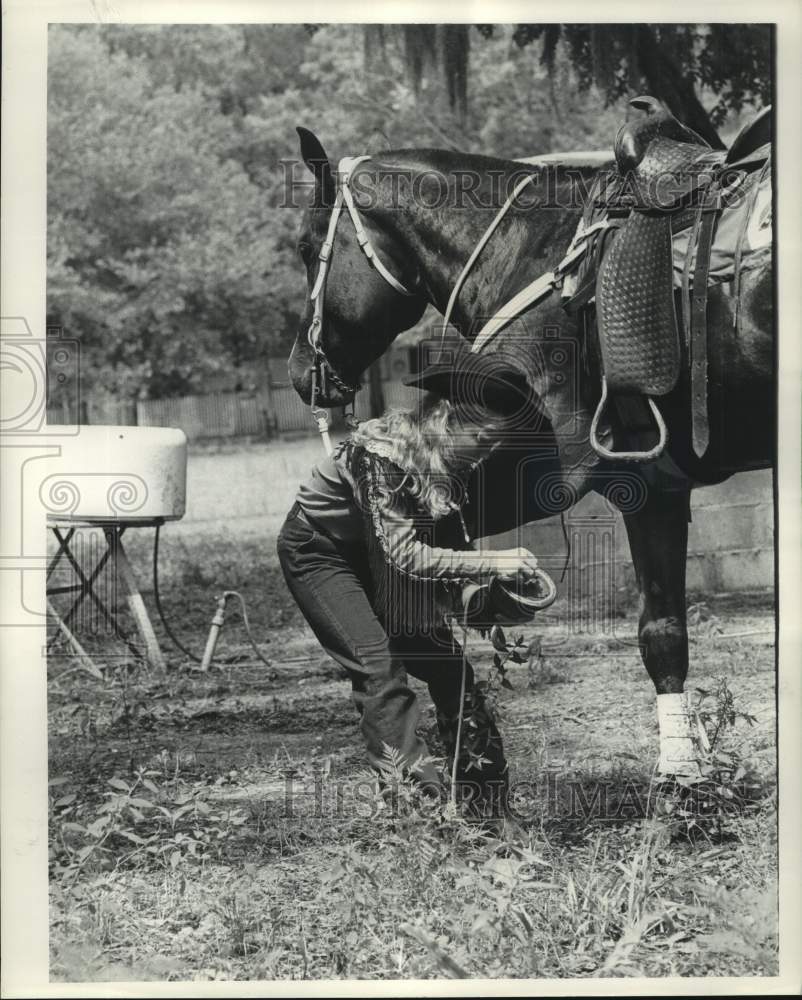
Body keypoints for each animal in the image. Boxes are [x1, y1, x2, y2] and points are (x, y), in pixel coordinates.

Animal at [286, 125, 768, 776]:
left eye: (306, 246)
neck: (537, 261)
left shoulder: (576, 473)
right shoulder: (656, 485)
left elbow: (659, 637)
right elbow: (667, 633)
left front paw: (678, 784)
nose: (299, 374)